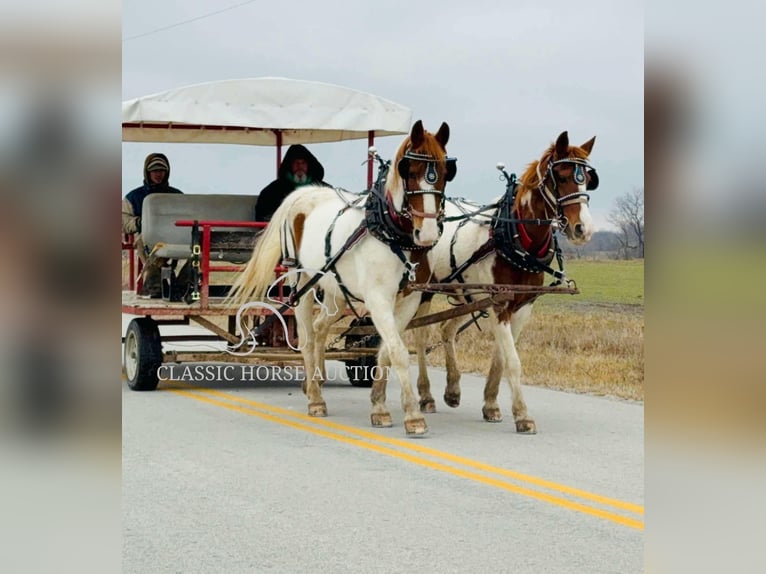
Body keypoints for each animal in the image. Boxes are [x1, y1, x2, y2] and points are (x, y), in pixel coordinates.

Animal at [414, 132, 600, 432]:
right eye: (561, 177)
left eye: (588, 179)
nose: (583, 229)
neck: (516, 238)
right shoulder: (499, 305)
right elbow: (512, 360)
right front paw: (522, 414)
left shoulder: (521, 306)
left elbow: (501, 358)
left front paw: (491, 404)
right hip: (424, 291)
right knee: (420, 336)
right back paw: (426, 394)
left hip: (467, 295)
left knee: (446, 329)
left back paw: (452, 389)